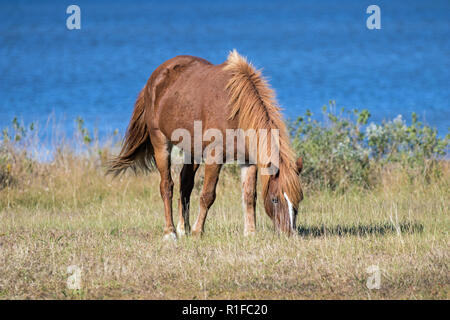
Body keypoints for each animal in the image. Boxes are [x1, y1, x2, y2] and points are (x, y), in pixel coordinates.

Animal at [107, 50, 304, 239]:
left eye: (299, 199)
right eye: (275, 199)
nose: (289, 234)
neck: (237, 110)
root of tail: (154, 79)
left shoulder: (248, 161)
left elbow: (249, 196)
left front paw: (250, 233)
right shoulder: (214, 157)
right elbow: (207, 195)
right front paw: (197, 231)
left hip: (191, 150)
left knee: (185, 184)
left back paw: (183, 229)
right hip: (160, 142)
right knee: (166, 186)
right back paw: (170, 232)